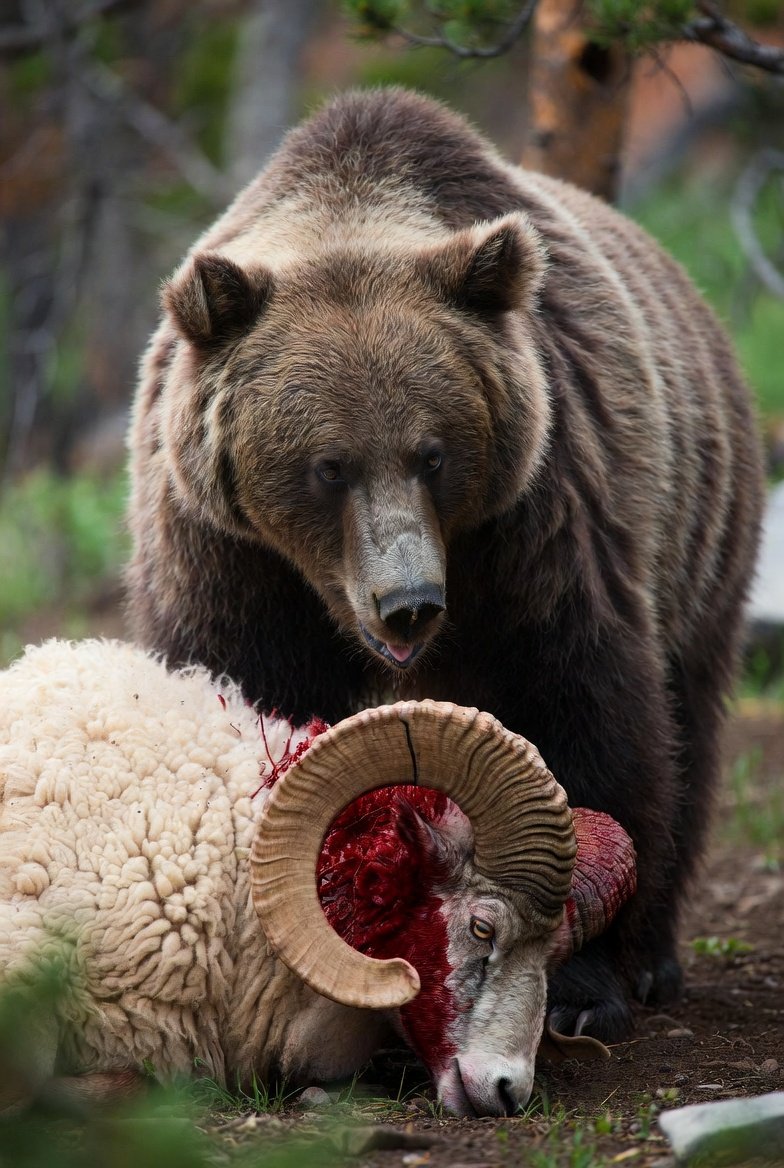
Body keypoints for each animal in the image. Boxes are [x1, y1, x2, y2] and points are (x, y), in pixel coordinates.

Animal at [126, 87, 764, 1043]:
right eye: (329, 466)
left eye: (433, 454)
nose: (411, 603)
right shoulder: (228, 556)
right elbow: (241, 691)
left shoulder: (541, 514)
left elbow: (585, 704)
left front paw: (581, 985)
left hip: (703, 530)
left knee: (690, 716)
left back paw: (655, 958)